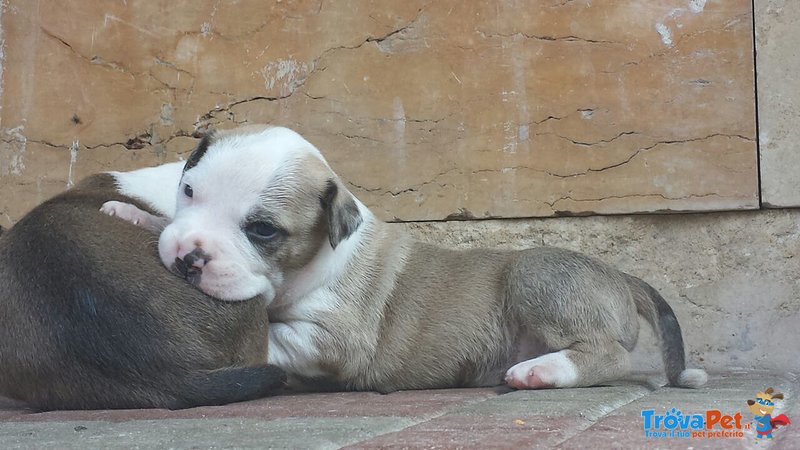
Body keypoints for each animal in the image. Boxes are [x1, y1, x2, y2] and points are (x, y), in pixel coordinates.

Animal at [104, 125, 708, 392]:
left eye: (262, 231)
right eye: (187, 190)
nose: (189, 257)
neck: (316, 259)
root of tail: (621, 275)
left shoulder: (333, 339)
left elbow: (270, 339)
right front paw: (130, 214)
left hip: (537, 277)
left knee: (610, 357)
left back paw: (543, 370)